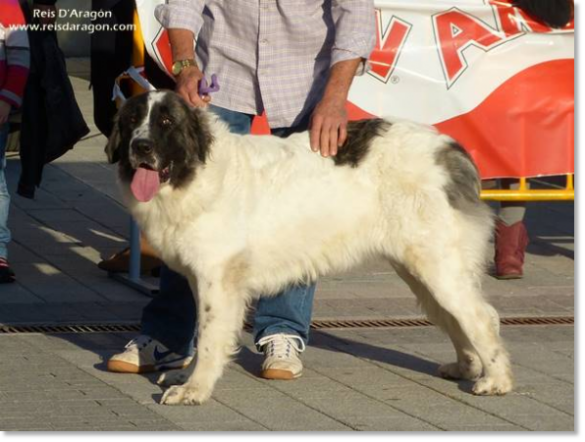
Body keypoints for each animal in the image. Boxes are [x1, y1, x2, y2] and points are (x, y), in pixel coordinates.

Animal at [105, 91, 512, 406]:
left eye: (166, 122)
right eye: (132, 120)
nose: (140, 146)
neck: (196, 172)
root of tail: (450, 149)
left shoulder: (217, 281)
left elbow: (208, 339)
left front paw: (194, 389)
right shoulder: (199, 278)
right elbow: (202, 331)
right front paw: (186, 377)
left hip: (437, 264)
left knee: (481, 317)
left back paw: (496, 381)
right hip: (420, 269)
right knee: (454, 317)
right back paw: (465, 366)